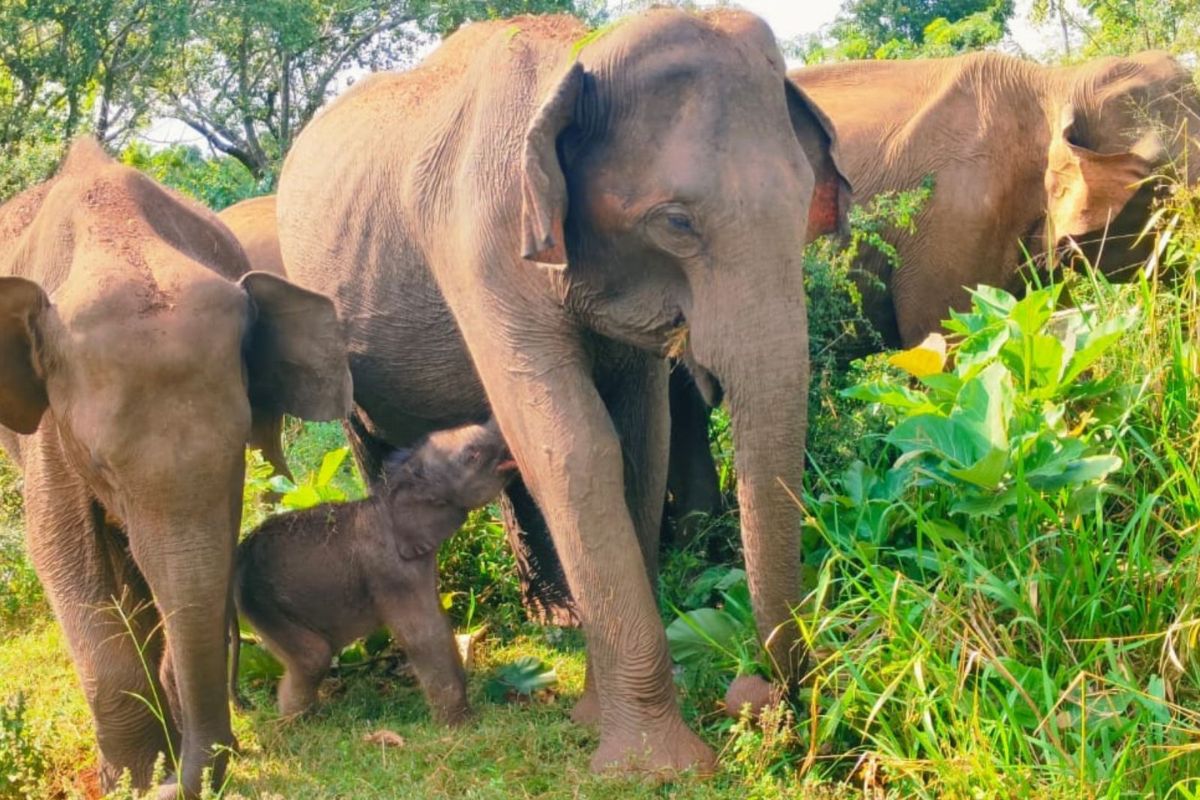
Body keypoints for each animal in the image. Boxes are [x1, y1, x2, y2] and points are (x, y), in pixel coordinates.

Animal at [0, 138, 352, 797]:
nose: (179, 781)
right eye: (102, 465)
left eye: (236, 446)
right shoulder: (52, 429)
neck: (116, 236)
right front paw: (133, 781)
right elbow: (59, 550)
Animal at [276, 9, 847, 774]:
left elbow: (640, 445)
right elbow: (574, 447)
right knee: (374, 446)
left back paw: (556, 621)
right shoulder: (481, 249)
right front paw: (654, 767)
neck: (579, 57)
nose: (758, 694)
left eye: (802, 203)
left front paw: (595, 718)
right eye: (676, 222)